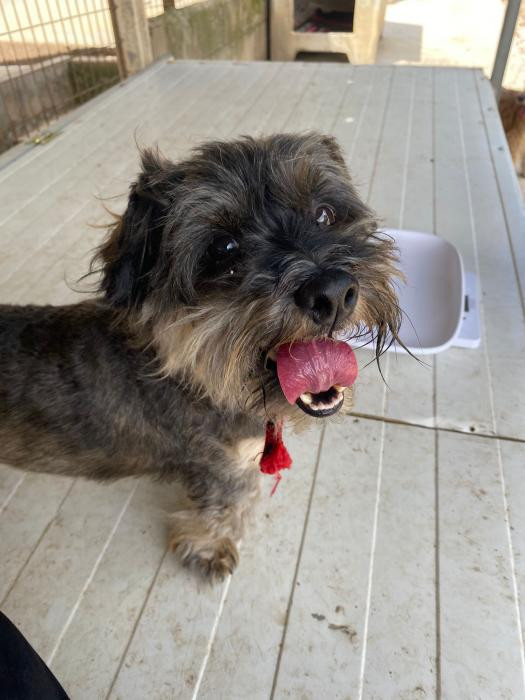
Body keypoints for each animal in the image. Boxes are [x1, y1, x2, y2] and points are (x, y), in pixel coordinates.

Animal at [0, 133, 402, 581]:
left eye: (324, 214)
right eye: (223, 247)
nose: (332, 293)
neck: (197, 378)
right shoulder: (220, 468)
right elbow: (226, 508)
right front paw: (211, 547)